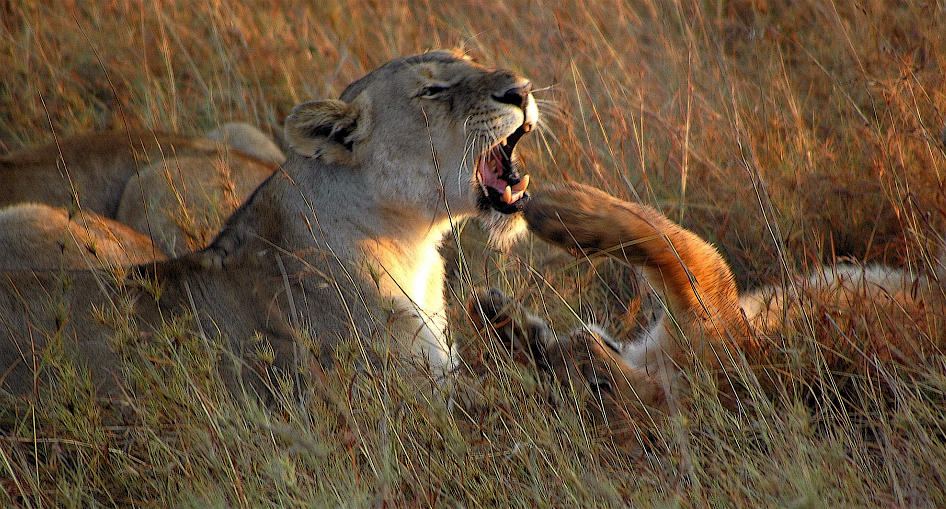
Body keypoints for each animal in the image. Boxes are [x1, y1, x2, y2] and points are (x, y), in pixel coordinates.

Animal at [465, 183, 944, 450]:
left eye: (600, 388)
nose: (575, 347)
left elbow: (654, 236)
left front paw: (500, 318)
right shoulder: (712, 301)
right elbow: (659, 237)